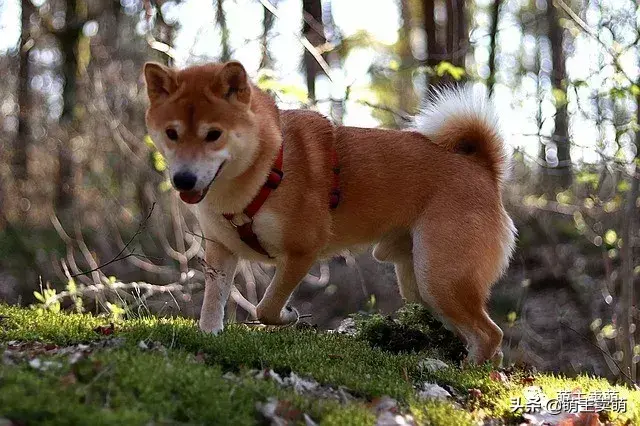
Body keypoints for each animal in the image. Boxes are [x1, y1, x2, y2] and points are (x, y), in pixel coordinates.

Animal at [144, 61, 516, 364]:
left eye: (214, 134)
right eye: (172, 133)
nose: (183, 179)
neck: (267, 168)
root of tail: (483, 169)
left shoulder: (301, 252)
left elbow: (267, 307)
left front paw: (289, 316)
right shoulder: (220, 251)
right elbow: (212, 304)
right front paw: (208, 337)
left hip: (441, 278)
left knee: (491, 334)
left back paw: (470, 373)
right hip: (421, 285)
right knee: (485, 338)